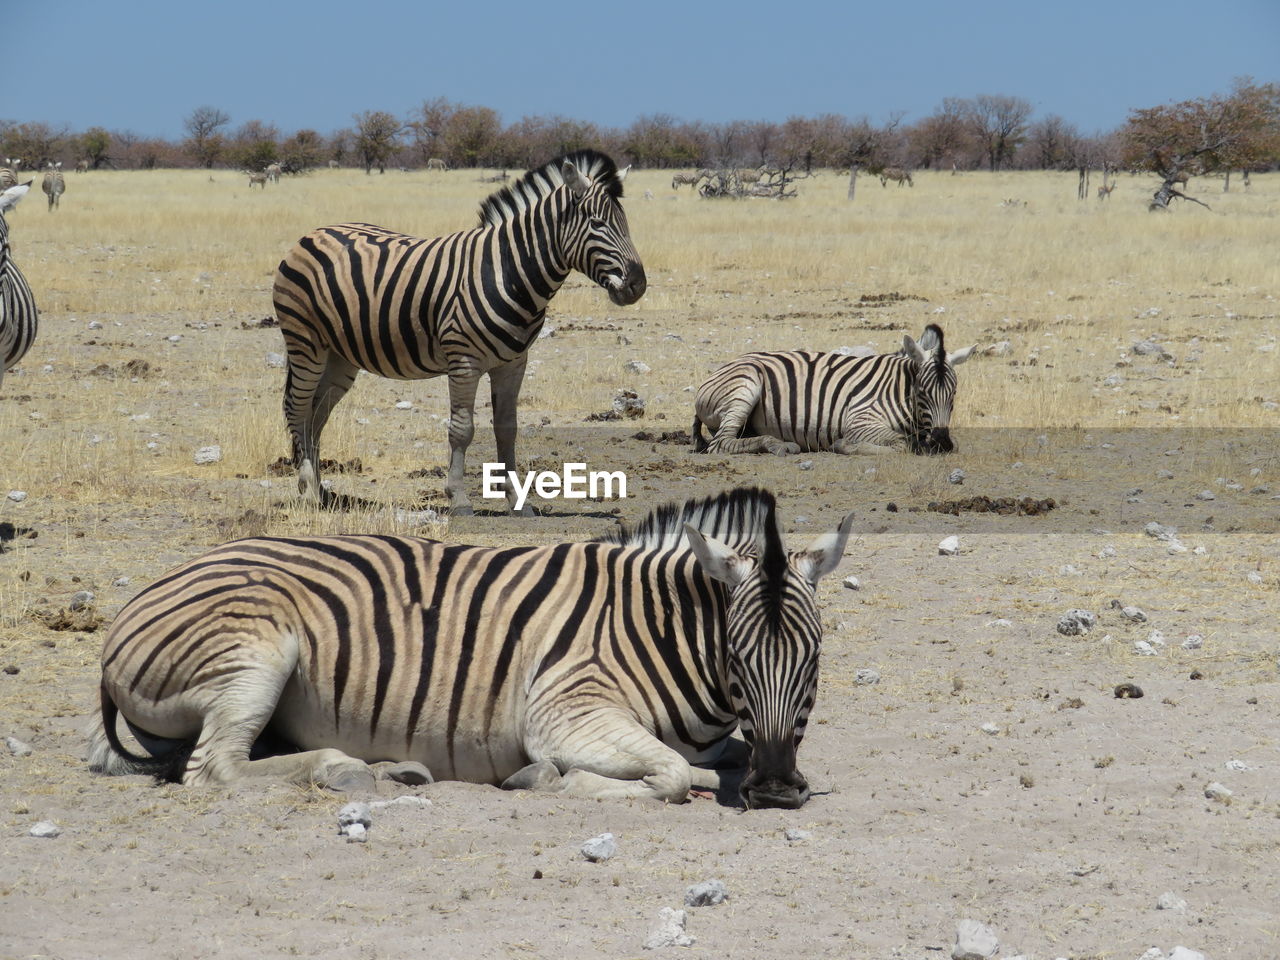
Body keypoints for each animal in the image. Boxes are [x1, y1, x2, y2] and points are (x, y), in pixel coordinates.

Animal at [87, 488, 849, 814]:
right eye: (738, 658)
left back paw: (393, 770)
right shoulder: (565, 710)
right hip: (257, 651)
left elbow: (717, 754)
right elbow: (670, 773)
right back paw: (346, 770)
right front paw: (548, 780)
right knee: (214, 768)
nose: (777, 791)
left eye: (814, 661)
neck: (656, 626)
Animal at [696, 325, 972, 455]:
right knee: (720, 443)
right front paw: (844, 445)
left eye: (954, 394)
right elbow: (901, 443)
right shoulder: (860, 420)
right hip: (746, 386)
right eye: (922, 392)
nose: (942, 442)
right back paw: (778, 445)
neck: (899, 387)